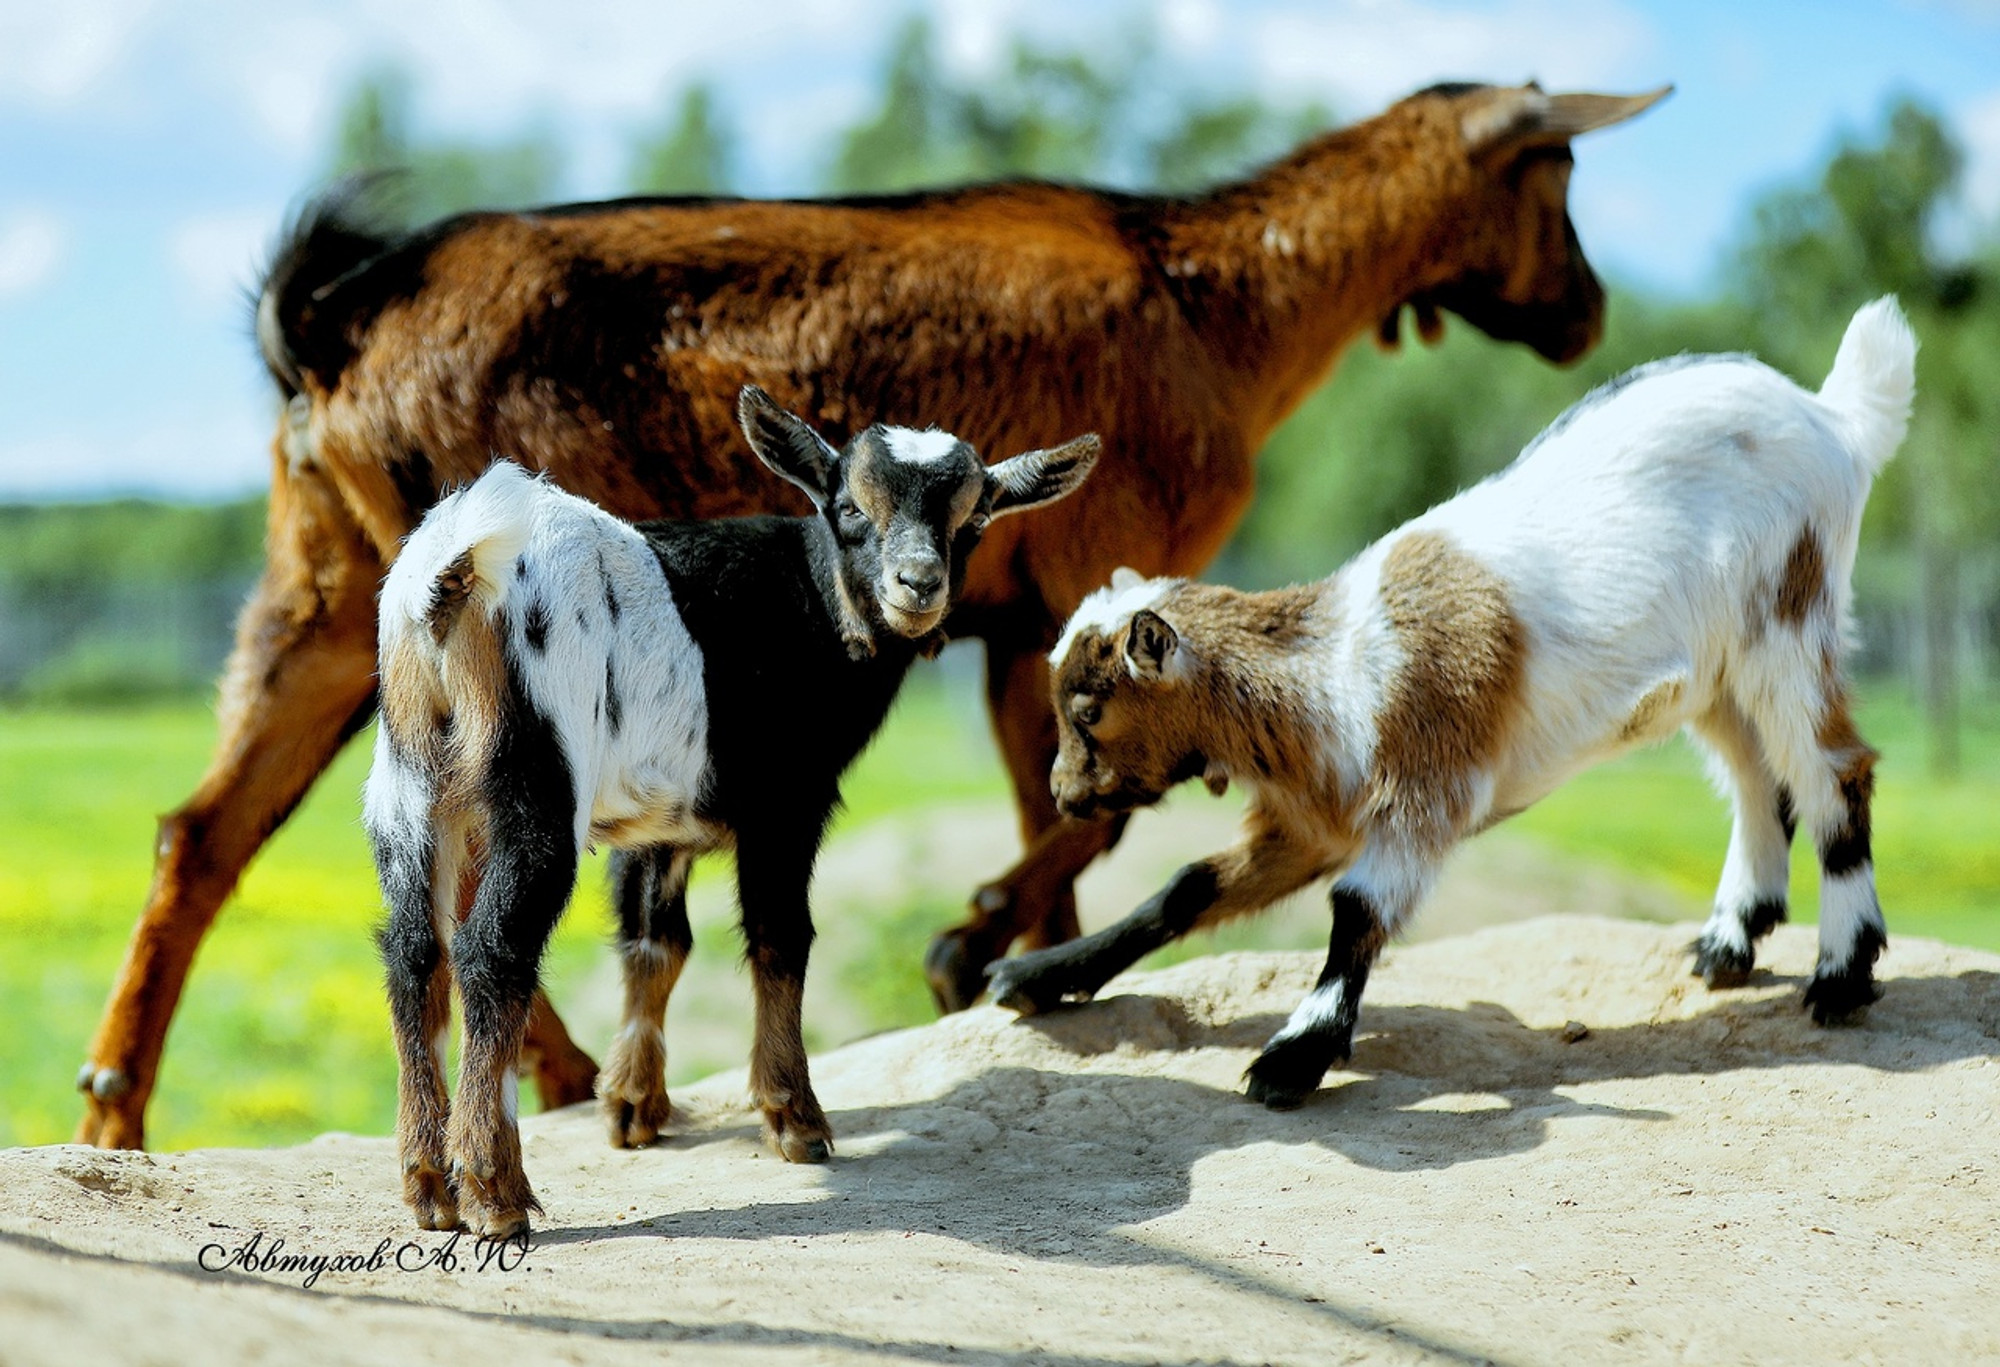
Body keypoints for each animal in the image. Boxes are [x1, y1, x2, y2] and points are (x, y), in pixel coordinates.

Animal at [78, 74, 1664, 1143]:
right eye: (1556, 179)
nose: (1587, 310)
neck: (1217, 299)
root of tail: (332, 327)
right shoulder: (1073, 581)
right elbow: (1087, 812)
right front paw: (974, 950)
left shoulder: (1018, 616)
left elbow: (1065, 809)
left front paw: (1022, 976)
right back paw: (568, 1079)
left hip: (326, 592)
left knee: (201, 830)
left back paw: (116, 1108)